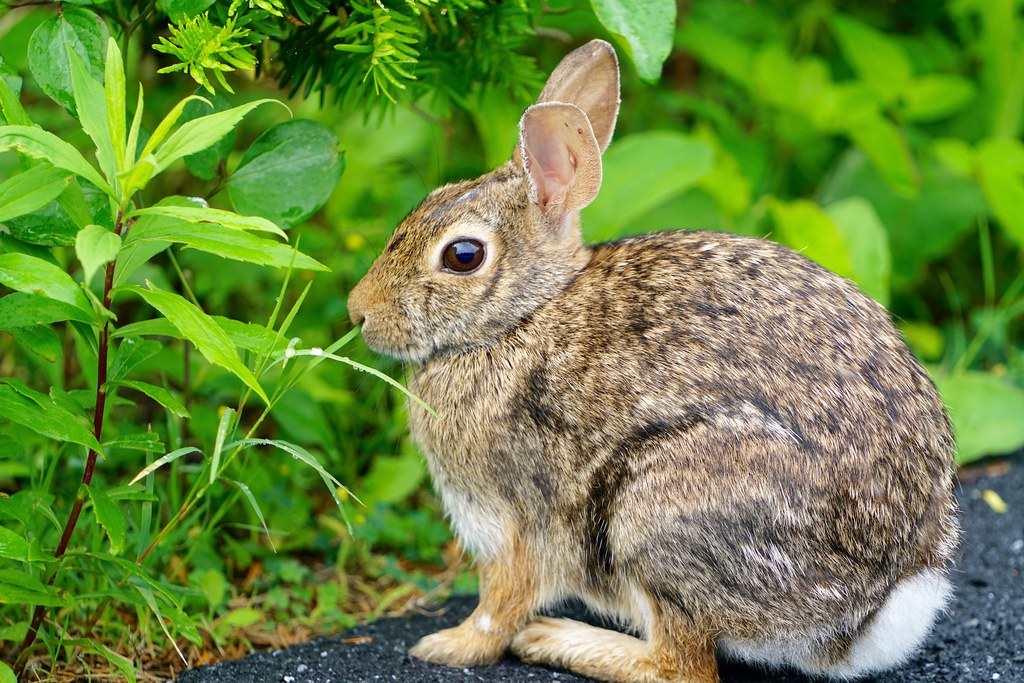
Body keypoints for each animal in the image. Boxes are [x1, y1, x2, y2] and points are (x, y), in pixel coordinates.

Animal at [346, 39, 959, 683]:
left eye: (463, 255)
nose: (358, 312)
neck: (523, 316)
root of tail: (879, 604)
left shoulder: (517, 518)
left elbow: (501, 602)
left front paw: (449, 646)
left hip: (655, 515)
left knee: (680, 663)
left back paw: (560, 640)